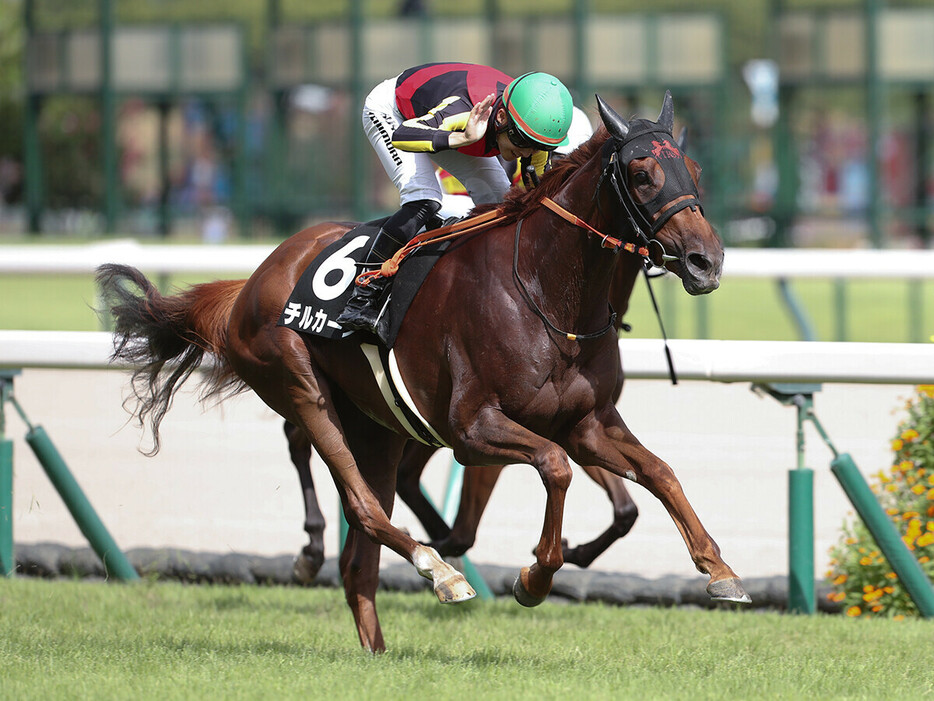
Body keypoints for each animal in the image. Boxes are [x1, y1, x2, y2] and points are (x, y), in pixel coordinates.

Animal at [98, 94, 748, 652]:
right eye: (641, 173)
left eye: (691, 167)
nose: (706, 260)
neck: (546, 293)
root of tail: (252, 281)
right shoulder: (471, 430)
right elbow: (556, 469)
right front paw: (533, 577)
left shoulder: (587, 423)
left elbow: (660, 474)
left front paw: (719, 569)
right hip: (302, 388)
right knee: (359, 503)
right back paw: (436, 570)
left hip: (379, 428)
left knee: (358, 561)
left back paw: (379, 648)